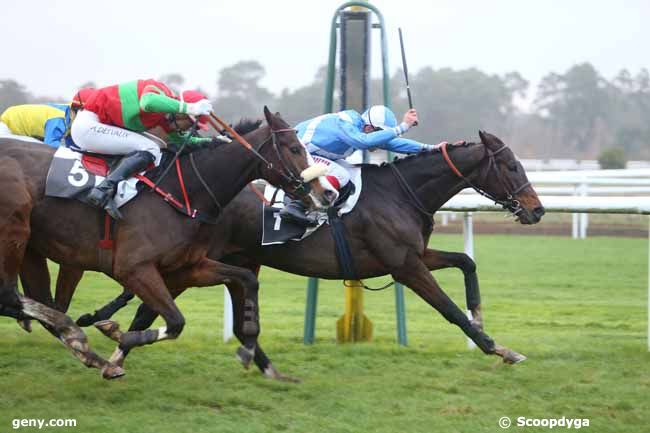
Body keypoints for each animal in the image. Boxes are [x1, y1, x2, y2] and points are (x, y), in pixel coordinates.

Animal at [0, 108, 332, 378]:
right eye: (294, 148)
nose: (326, 193)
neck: (183, 193)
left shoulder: (187, 266)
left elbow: (246, 279)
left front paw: (249, 345)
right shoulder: (133, 268)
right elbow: (175, 321)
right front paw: (113, 334)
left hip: (30, 248)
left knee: (32, 301)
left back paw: (80, 345)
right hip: (15, 229)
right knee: (11, 297)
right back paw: (76, 335)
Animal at [49, 130, 540, 380]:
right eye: (511, 165)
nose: (537, 209)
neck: (401, 193)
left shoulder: (412, 256)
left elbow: (466, 263)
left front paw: (481, 317)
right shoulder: (405, 266)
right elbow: (448, 309)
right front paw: (499, 348)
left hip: (226, 262)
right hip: (193, 265)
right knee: (148, 310)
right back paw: (114, 352)